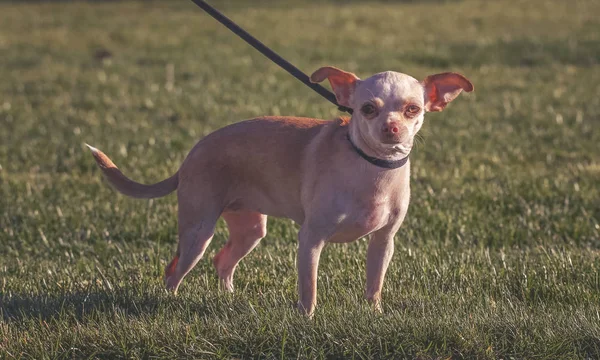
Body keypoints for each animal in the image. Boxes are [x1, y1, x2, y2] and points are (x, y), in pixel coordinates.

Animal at [89, 67, 474, 316]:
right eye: (367, 109)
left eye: (413, 110)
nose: (391, 128)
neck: (372, 167)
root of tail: (189, 157)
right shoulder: (311, 239)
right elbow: (309, 288)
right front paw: (307, 320)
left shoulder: (384, 242)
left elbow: (374, 284)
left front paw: (374, 315)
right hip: (198, 231)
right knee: (174, 271)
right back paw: (168, 302)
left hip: (250, 229)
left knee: (222, 260)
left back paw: (229, 298)